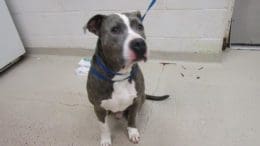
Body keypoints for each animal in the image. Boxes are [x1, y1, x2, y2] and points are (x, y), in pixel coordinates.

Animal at [83, 11, 169, 146]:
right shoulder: (98, 107)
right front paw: (105, 139)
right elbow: (104, 126)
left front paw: (133, 133)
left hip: (141, 98)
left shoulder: (135, 101)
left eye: (140, 27)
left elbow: (132, 120)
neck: (120, 74)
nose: (139, 43)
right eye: (115, 29)